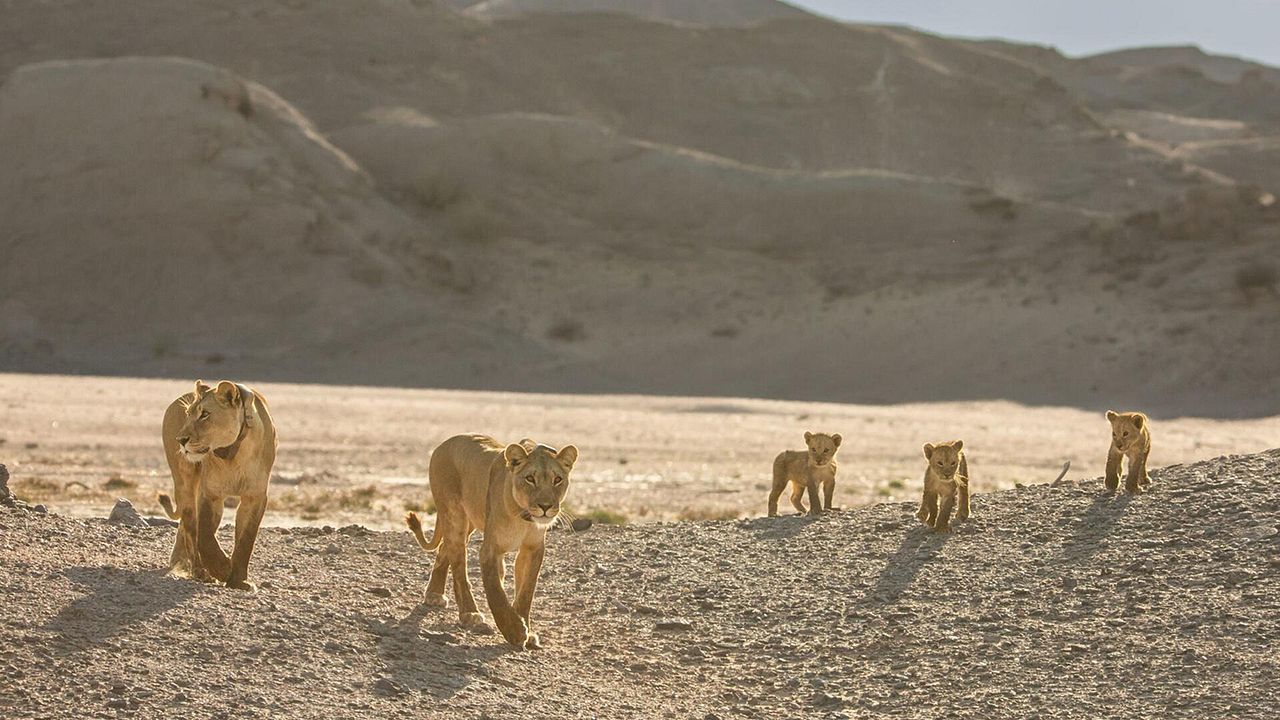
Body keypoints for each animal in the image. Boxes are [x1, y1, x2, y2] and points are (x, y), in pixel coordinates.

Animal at [158, 380, 277, 590]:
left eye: (205, 414)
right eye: (188, 414)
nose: (180, 440)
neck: (234, 455)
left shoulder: (255, 497)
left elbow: (246, 539)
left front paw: (239, 580)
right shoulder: (210, 494)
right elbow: (204, 536)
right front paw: (222, 569)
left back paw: (181, 561)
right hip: (185, 482)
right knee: (190, 527)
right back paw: (199, 570)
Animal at [405, 434, 578, 650]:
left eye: (557, 479)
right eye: (530, 478)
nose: (545, 507)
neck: (522, 517)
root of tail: (444, 443)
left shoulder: (533, 549)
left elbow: (526, 592)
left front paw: (527, 632)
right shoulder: (490, 549)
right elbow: (496, 591)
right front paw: (514, 631)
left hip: (469, 523)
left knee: (446, 548)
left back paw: (435, 593)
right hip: (454, 515)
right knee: (458, 564)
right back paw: (469, 612)